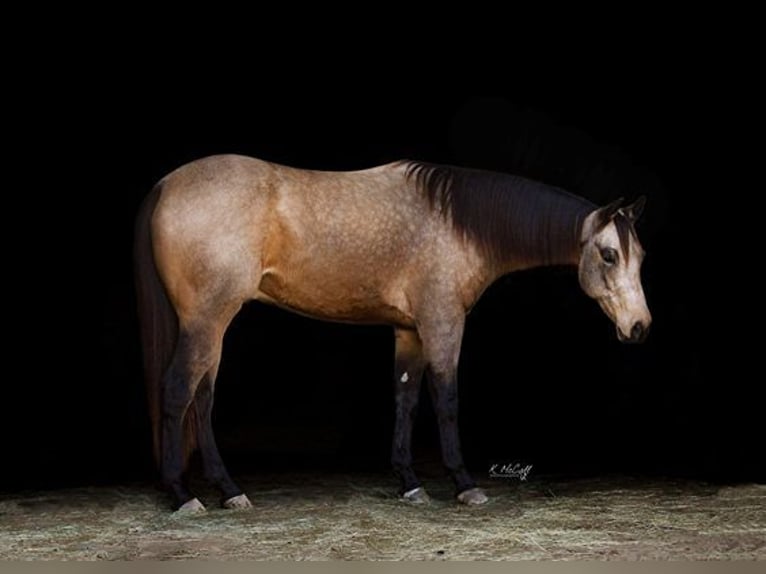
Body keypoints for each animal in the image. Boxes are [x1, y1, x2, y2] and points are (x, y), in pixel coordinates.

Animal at [135, 154, 652, 512]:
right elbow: (446, 399)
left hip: (214, 325)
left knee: (202, 398)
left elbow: (406, 398)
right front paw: (464, 485)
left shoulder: (408, 330)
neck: (456, 222)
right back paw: (183, 495)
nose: (639, 326)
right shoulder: (443, 324)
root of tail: (165, 185)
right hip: (206, 319)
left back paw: (228, 491)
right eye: (609, 255)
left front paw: (410, 483)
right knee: (178, 390)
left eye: (640, 256)